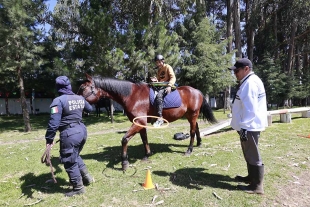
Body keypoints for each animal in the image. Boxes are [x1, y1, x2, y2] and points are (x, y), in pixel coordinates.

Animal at [78, 74, 217, 170]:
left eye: (83, 88)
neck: (132, 95)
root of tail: (197, 91)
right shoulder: (140, 123)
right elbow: (144, 139)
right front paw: (147, 155)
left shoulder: (139, 121)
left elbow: (124, 139)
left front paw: (124, 162)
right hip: (190, 115)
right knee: (196, 128)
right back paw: (199, 143)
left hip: (193, 115)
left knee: (192, 131)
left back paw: (189, 150)